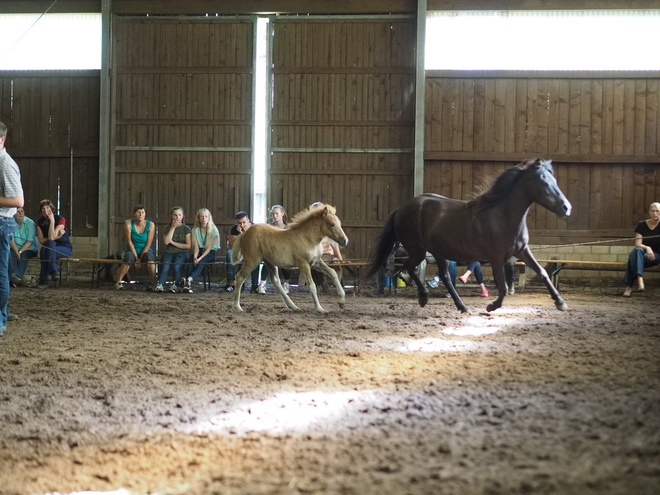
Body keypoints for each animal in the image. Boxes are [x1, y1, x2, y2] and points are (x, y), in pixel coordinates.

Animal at [366, 159, 572, 314]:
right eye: (544, 182)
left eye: (555, 180)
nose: (566, 208)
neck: (502, 216)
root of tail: (401, 209)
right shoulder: (496, 258)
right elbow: (503, 287)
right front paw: (491, 306)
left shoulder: (521, 251)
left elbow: (542, 272)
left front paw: (560, 302)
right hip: (417, 250)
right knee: (410, 267)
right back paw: (424, 297)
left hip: (439, 252)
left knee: (445, 277)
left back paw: (462, 307)